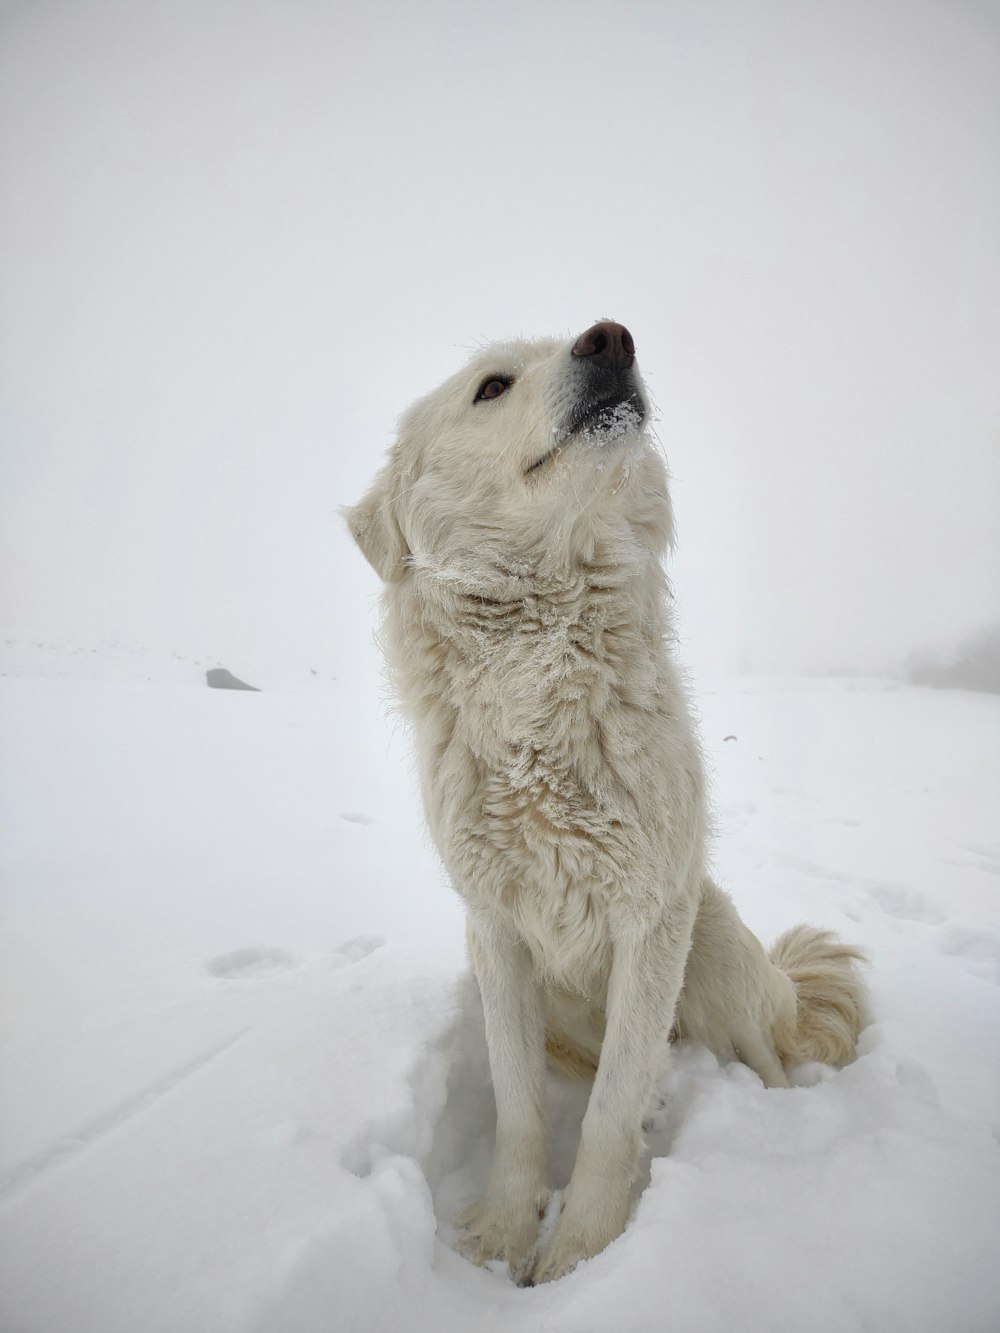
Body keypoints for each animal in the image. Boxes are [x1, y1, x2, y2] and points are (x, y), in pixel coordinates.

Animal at [349, 319, 864, 1279]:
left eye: (578, 339)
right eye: (491, 386)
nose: (611, 339)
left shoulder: (650, 918)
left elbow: (612, 1108)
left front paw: (581, 1249)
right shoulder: (497, 934)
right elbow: (520, 1105)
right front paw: (502, 1235)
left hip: (713, 949)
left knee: (761, 1057)